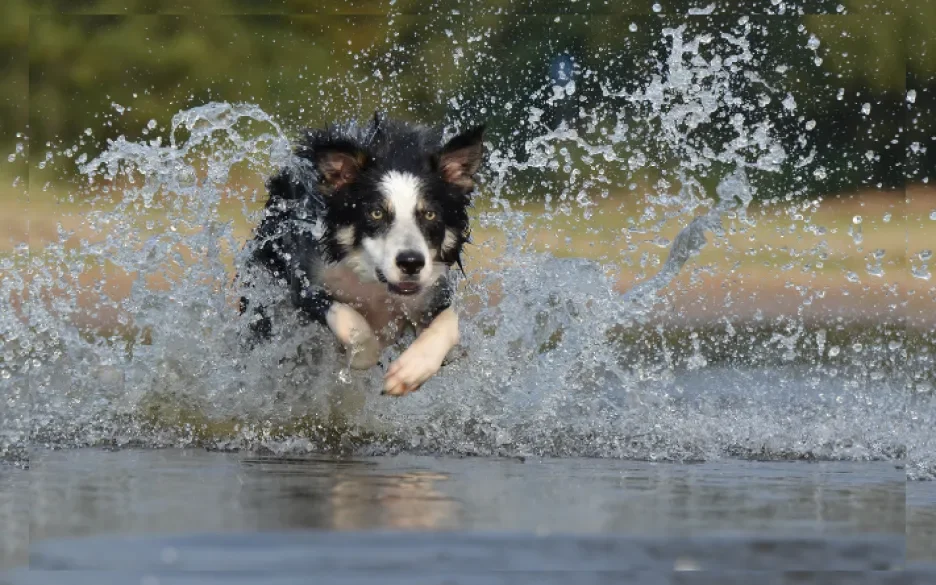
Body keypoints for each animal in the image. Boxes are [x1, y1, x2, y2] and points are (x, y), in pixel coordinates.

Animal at [238, 113, 486, 396]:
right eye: (376, 213)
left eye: (430, 214)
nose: (411, 263)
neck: (373, 283)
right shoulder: (305, 281)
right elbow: (349, 319)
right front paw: (363, 354)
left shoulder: (433, 291)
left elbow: (448, 324)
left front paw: (410, 371)